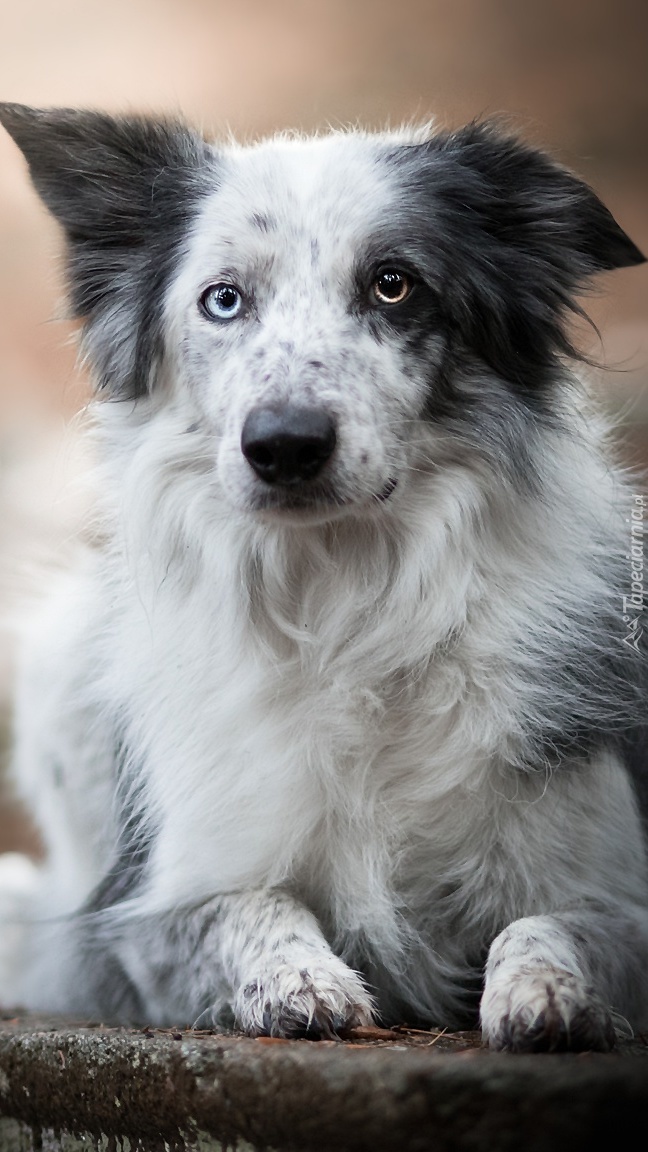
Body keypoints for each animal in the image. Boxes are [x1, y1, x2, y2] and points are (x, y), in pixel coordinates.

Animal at [0, 103, 641, 1050]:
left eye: (393, 285)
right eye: (223, 298)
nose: (285, 445)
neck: (346, 603)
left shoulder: (610, 876)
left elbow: (552, 922)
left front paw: (545, 990)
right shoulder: (134, 921)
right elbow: (243, 906)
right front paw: (298, 978)